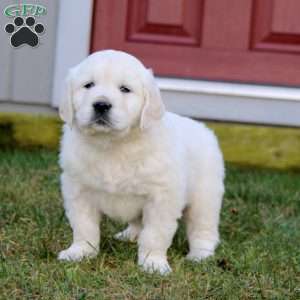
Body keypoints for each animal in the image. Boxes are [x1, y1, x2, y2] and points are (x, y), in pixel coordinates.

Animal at [57, 49, 224, 274]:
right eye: (88, 85)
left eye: (125, 89)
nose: (101, 105)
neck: (114, 144)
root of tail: (205, 130)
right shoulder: (78, 190)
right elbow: (84, 226)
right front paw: (80, 252)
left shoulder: (161, 198)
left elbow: (154, 234)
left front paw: (153, 263)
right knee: (138, 223)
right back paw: (129, 235)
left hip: (205, 197)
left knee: (203, 229)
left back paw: (200, 255)